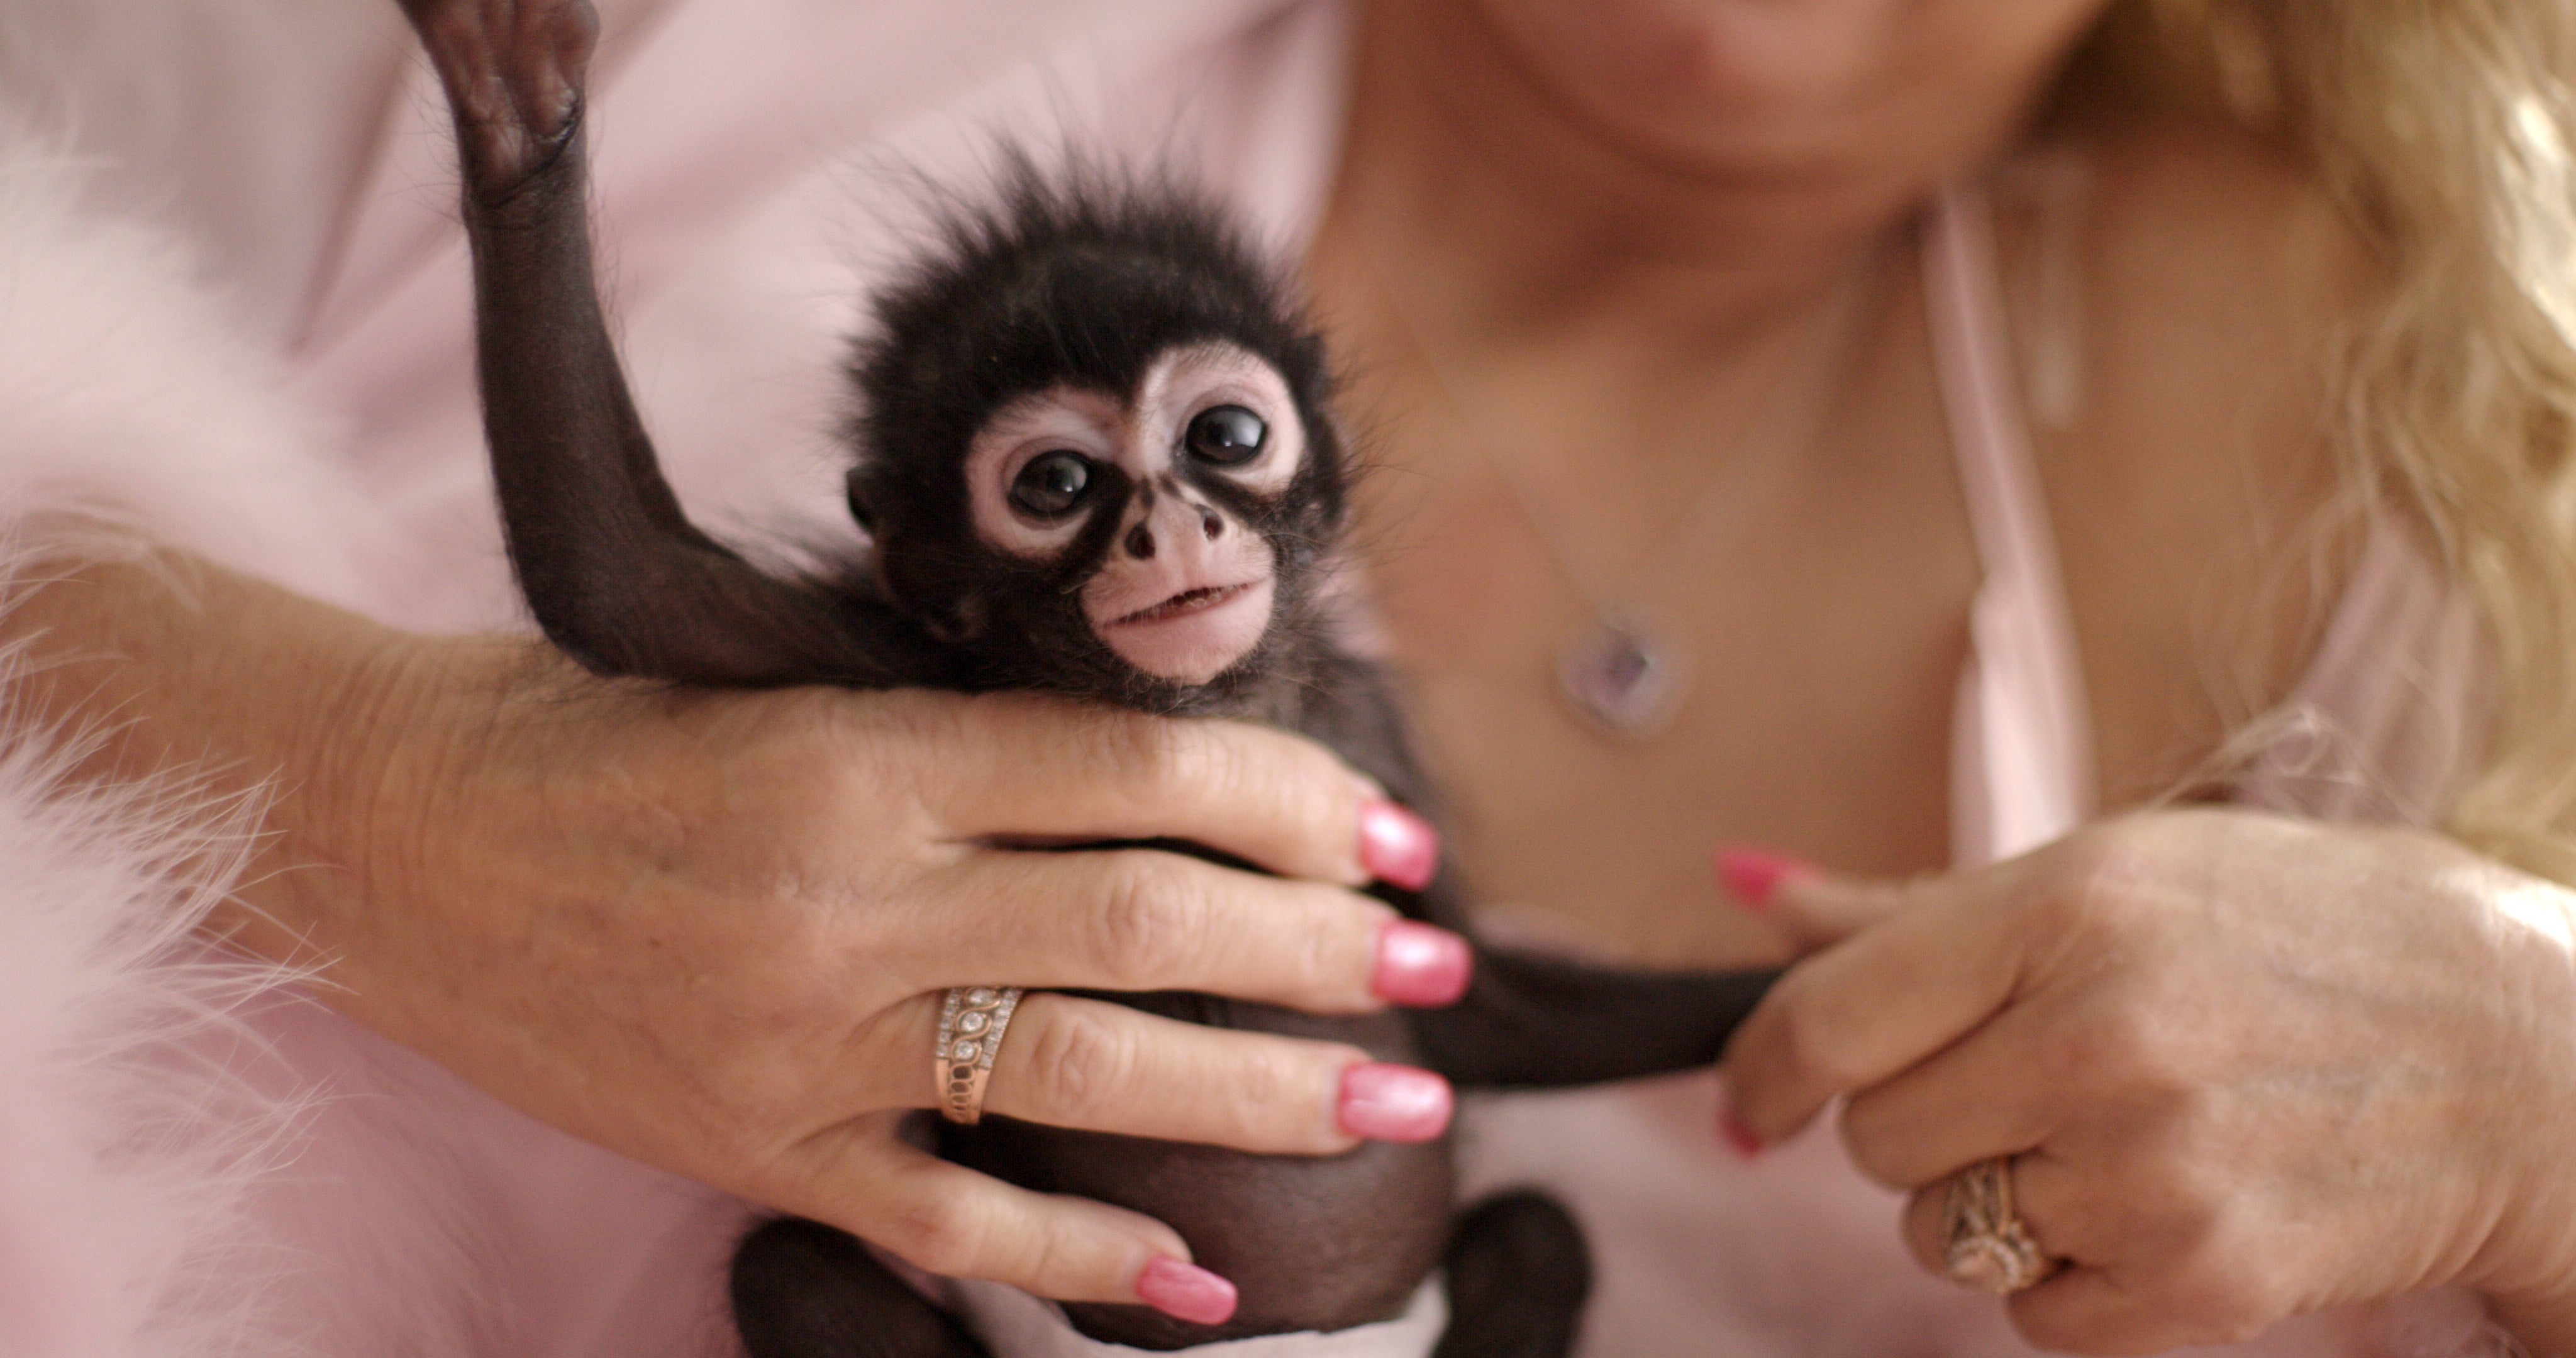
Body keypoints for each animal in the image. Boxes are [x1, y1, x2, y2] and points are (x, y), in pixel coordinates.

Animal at [391, 3, 1782, 1358]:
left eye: (1227, 437)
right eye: (1055, 485)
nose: (1169, 528)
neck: (1195, 708)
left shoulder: (1363, 735)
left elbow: (1473, 1000)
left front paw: (1810, 988)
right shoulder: (901, 656)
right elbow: (618, 581)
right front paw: (517, 119)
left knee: (1541, 1230)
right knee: (783, 1268)